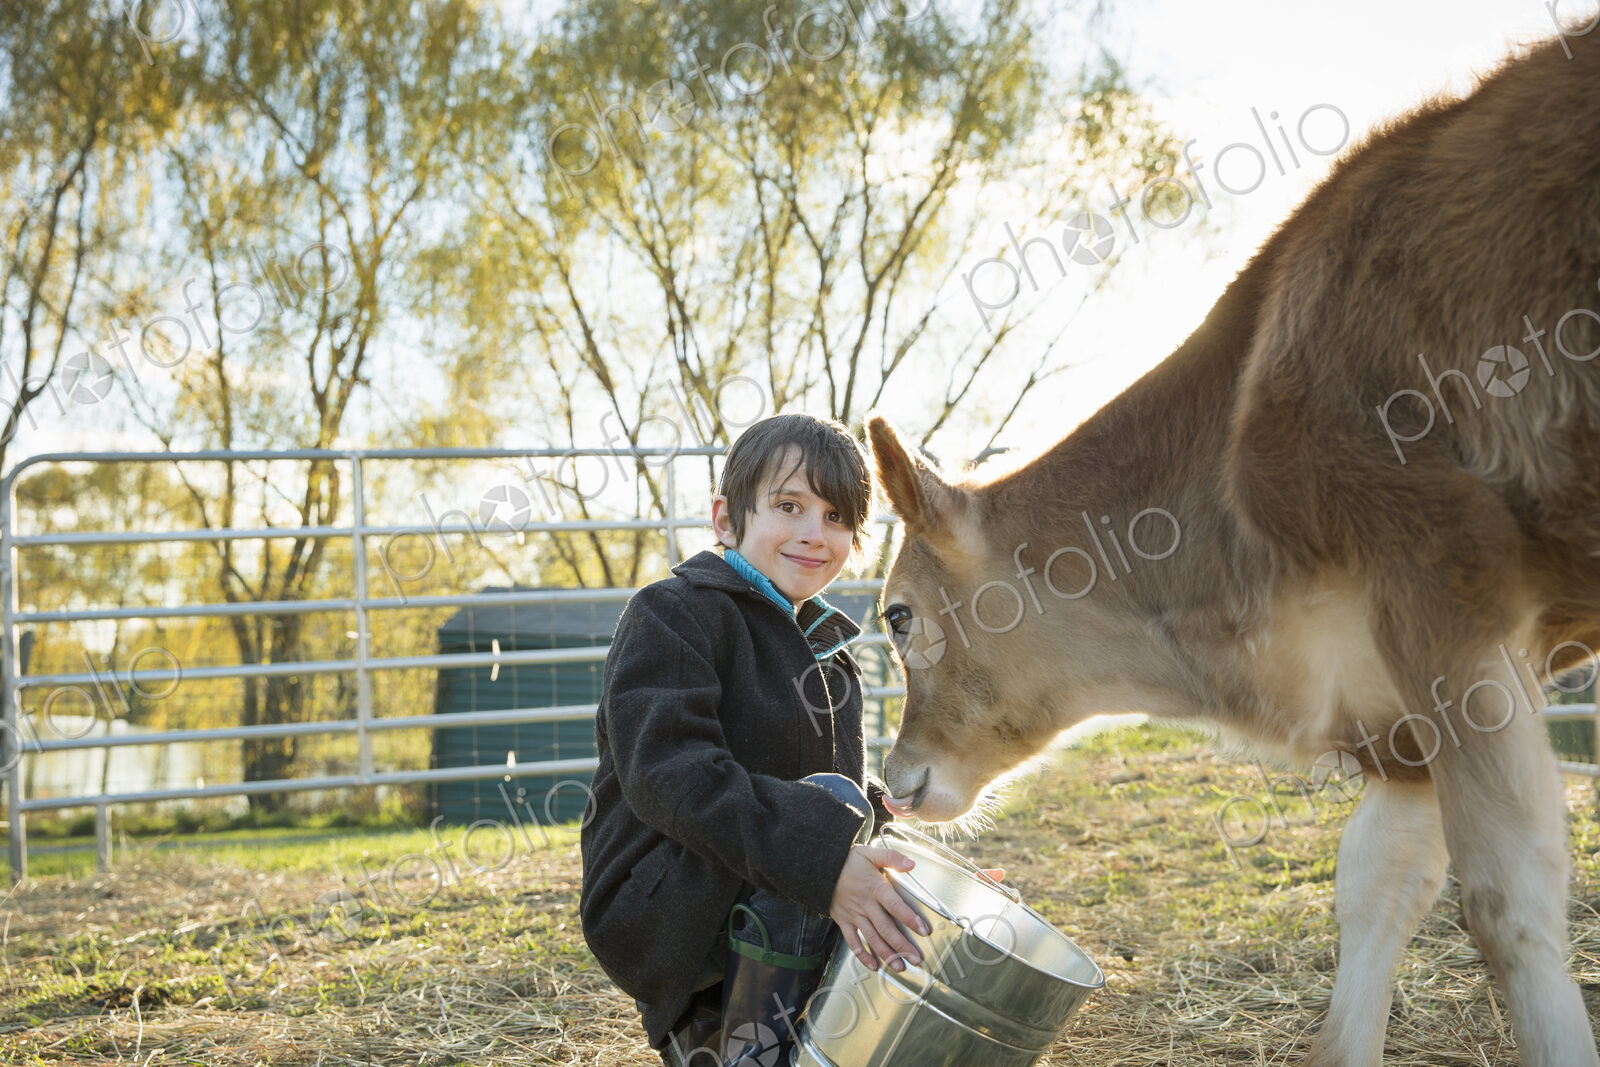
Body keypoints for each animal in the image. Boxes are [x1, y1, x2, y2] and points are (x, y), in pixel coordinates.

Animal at [864, 27, 1600, 1067]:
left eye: (897, 612)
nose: (893, 782)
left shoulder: (1440, 593)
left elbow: (1507, 901)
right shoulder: (1398, 698)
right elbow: (1377, 882)